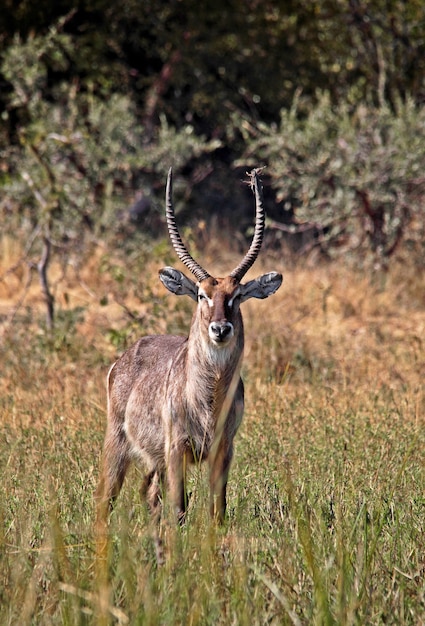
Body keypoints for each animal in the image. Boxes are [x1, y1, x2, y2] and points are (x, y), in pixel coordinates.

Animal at [95, 167, 282, 528]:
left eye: (237, 296)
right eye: (200, 294)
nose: (220, 329)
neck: (208, 399)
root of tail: (124, 356)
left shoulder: (224, 448)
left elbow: (218, 509)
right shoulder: (176, 448)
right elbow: (180, 509)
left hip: (153, 460)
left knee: (150, 494)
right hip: (118, 443)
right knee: (106, 497)